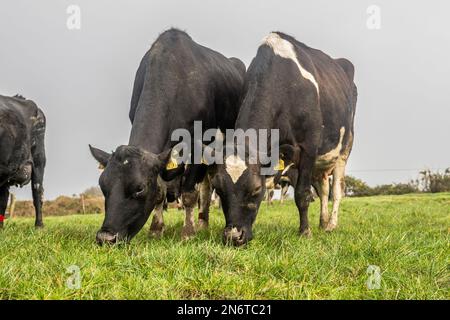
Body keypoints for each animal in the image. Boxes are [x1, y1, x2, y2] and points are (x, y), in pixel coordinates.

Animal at [90, 30, 246, 245]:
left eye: (139, 188)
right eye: (102, 185)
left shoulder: (197, 143)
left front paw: (188, 233)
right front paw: (156, 230)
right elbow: (160, 192)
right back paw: (202, 223)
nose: (106, 237)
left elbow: (189, 193)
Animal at [207, 31, 358, 245]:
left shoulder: (309, 146)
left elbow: (303, 194)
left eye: (256, 189)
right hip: (321, 163)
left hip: (344, 150)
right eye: (219, 189)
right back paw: (322, 222)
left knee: (337, 190)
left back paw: (331, 225)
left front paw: (305, 232)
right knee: (323, 189)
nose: (233, 236)